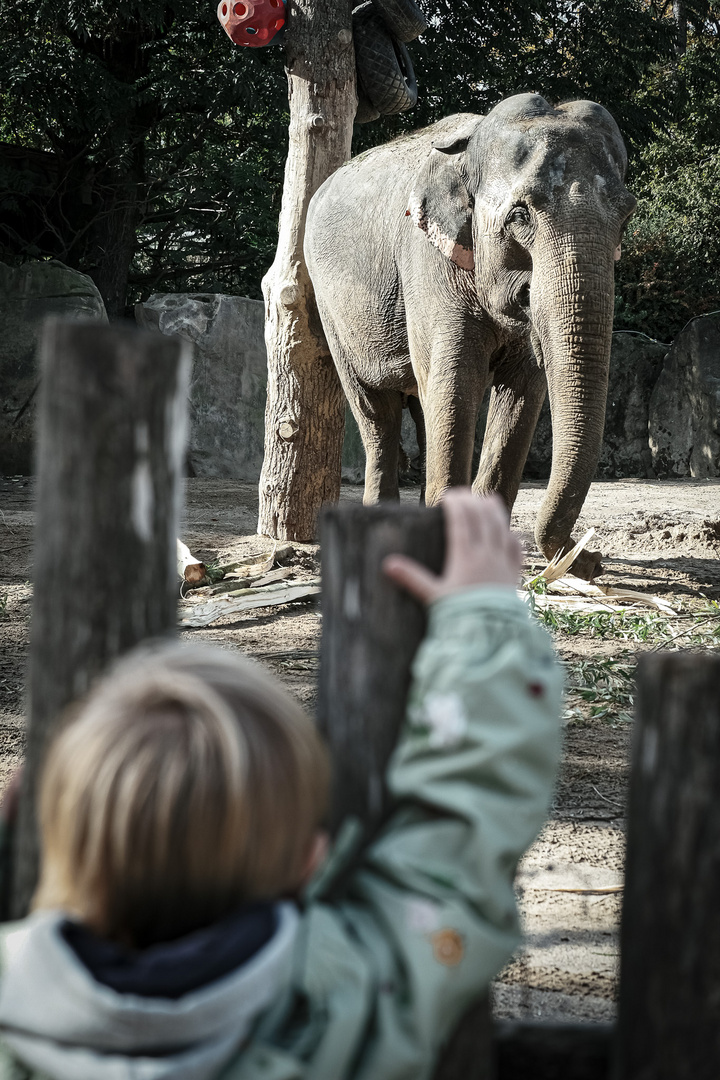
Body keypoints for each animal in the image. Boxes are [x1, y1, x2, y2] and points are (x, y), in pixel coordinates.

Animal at [304, 95, 634, 583]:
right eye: (520, 215)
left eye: (626, 218)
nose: (593, 559)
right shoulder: (428, 264)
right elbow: (458, 380)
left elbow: (523, 394)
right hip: (329, 307)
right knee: (376, 410)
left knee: (423, 410)